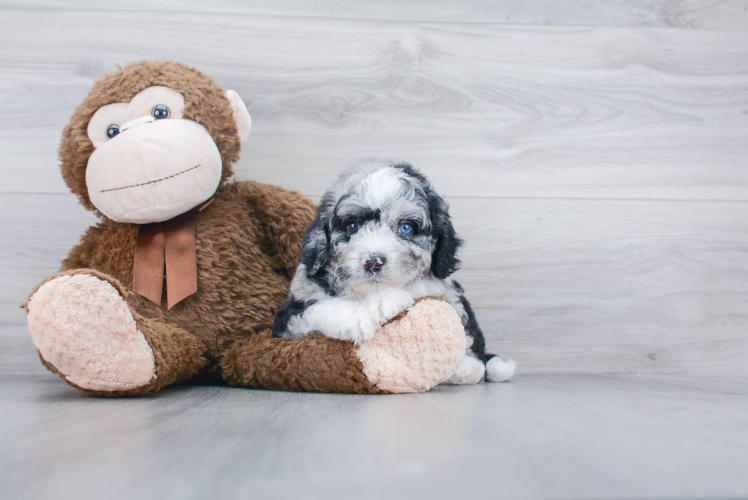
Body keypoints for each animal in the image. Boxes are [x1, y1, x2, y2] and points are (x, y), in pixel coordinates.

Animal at [274, 162, 516, 384]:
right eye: (352, 226)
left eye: (406, 227)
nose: (373, 261)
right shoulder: (289, 318)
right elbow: (321, 306)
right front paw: (364, 314)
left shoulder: (445, 290)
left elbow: (458, 317)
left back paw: (470, 368)